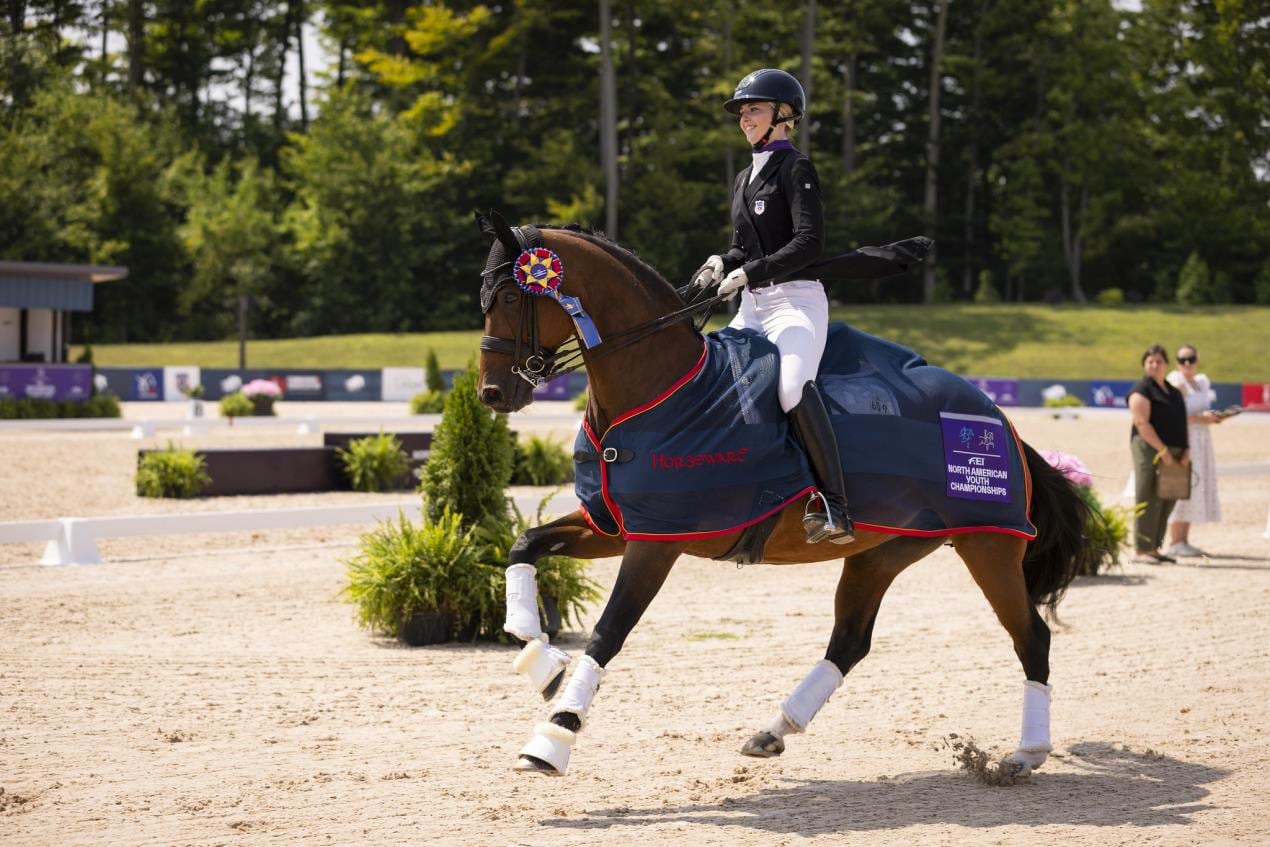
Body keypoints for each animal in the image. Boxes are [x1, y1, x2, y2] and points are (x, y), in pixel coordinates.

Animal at [477, 213, 1092, 782]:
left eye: (508, 296)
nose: (492, 393)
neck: (659, 389)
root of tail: (998, 416)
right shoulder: (615, 526)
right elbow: (524, 545)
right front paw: (542, 661)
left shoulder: (658, 541)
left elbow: (608, 633)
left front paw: (553, 736)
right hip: (883, 551)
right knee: (849, 641)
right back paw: (773, 731)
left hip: (988, 544)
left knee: (1031, 636)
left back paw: (1026, 754)